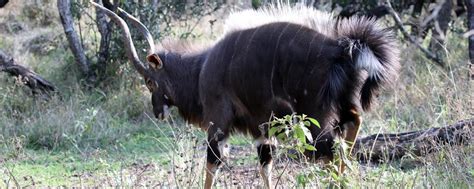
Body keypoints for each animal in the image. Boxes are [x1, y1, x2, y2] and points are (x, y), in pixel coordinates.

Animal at [92, 2, 400, 188]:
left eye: (149, 81)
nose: (158, 112)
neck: (202, 67)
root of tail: (339, 47)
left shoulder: (218, 123)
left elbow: (212, 162)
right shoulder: (263, 129)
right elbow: (265, 165)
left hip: (315, 117)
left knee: (331, 150)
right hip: (343, 106)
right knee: (352, 126)